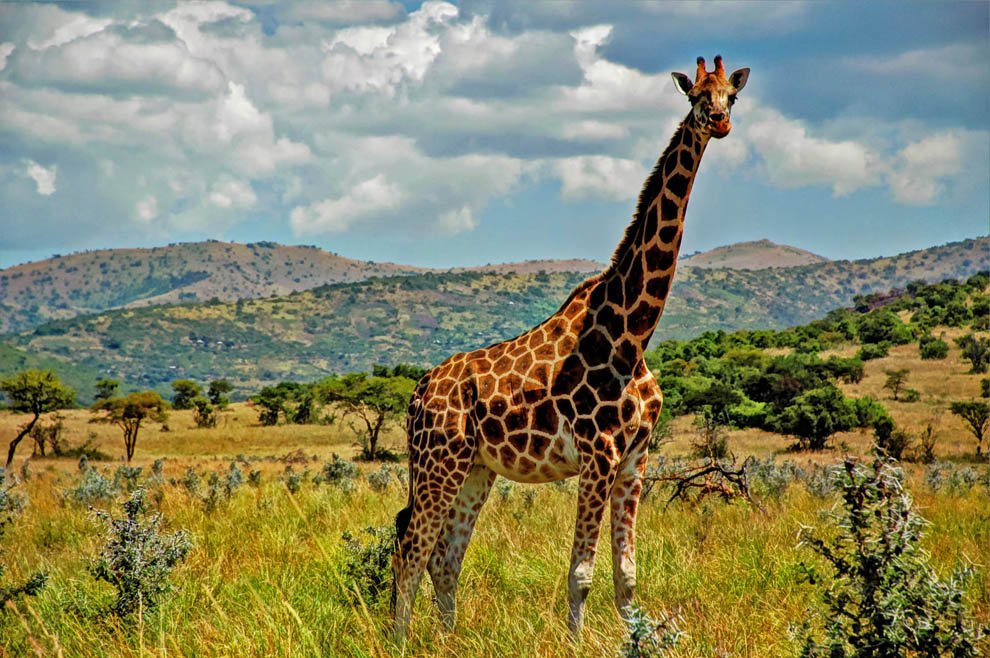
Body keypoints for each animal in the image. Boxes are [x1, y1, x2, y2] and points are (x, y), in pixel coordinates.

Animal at [391, 55, 750, 641]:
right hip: (438, 461)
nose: (719, 122)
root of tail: (419, 392)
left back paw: (447, 640)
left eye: (731, 96)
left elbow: (627, 575)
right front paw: (576, 641)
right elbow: (580, 573)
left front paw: (634, 640)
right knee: (411, 551)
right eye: (696, 96)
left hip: (475, 468)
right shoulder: (597, 455)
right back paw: (398, 640)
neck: (633, 331)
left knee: (444, 559)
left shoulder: (634, 459)